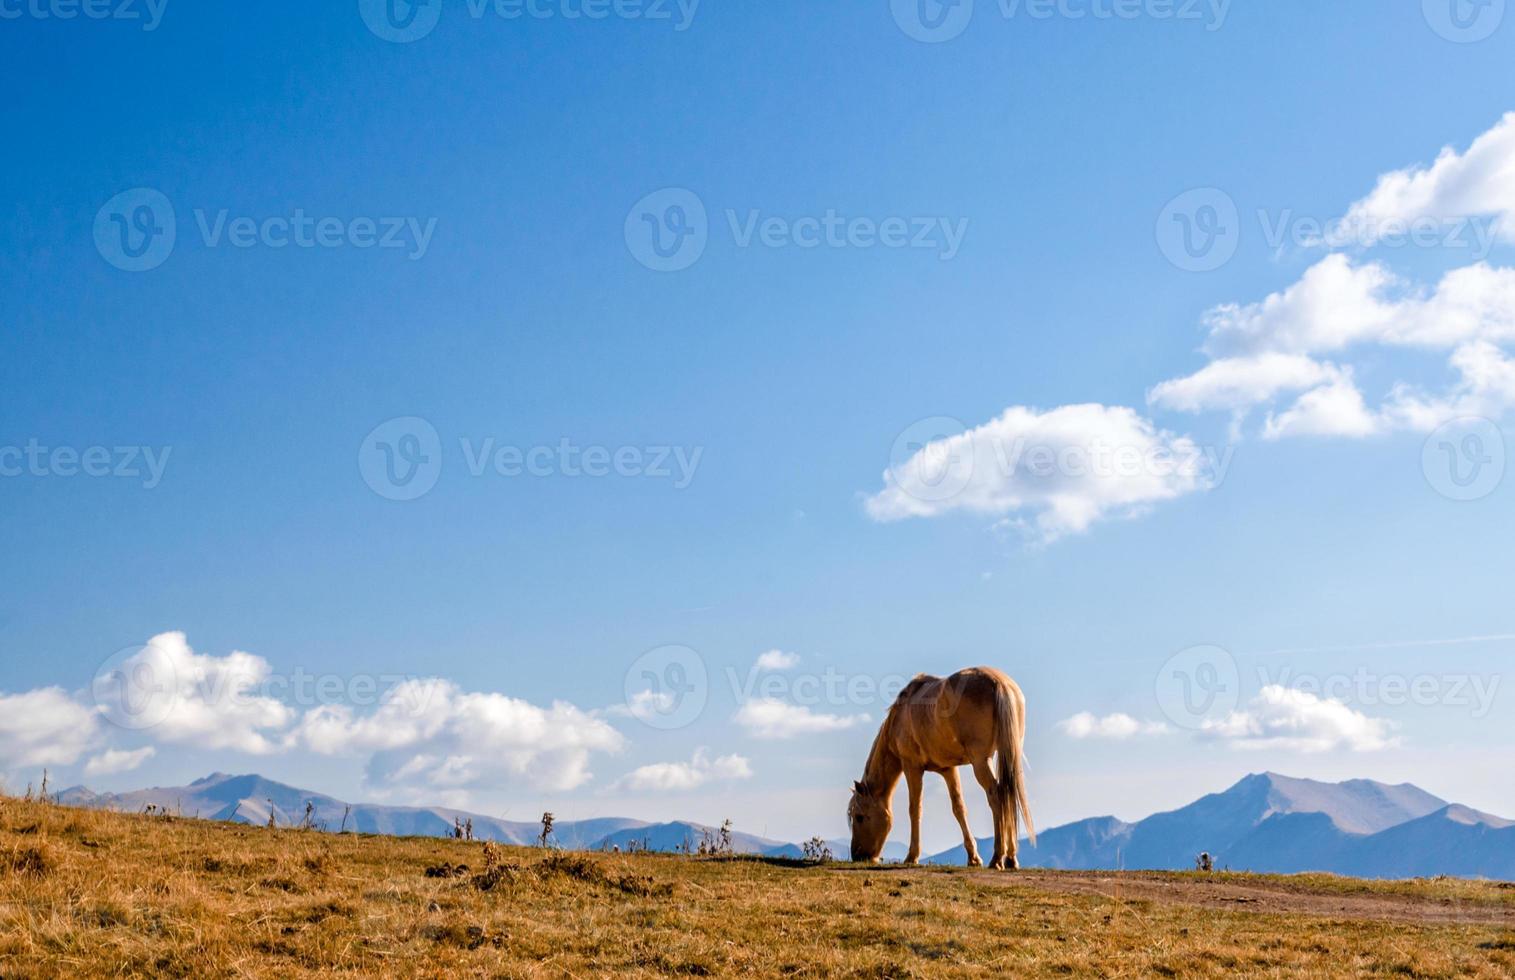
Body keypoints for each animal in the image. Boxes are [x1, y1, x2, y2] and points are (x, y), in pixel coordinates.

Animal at [848, 669, 1036, 872]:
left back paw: (997, 858)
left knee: (997, 795)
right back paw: (1011, 858)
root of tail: (999, 683)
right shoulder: (948, 769)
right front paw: (973, 858)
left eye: (859, 817)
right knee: (1009, 794)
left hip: (980, 761)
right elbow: (959, 808)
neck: (899, 717)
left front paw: (912, 856)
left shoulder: (911, 767)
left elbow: (915, 809)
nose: (857, 856)